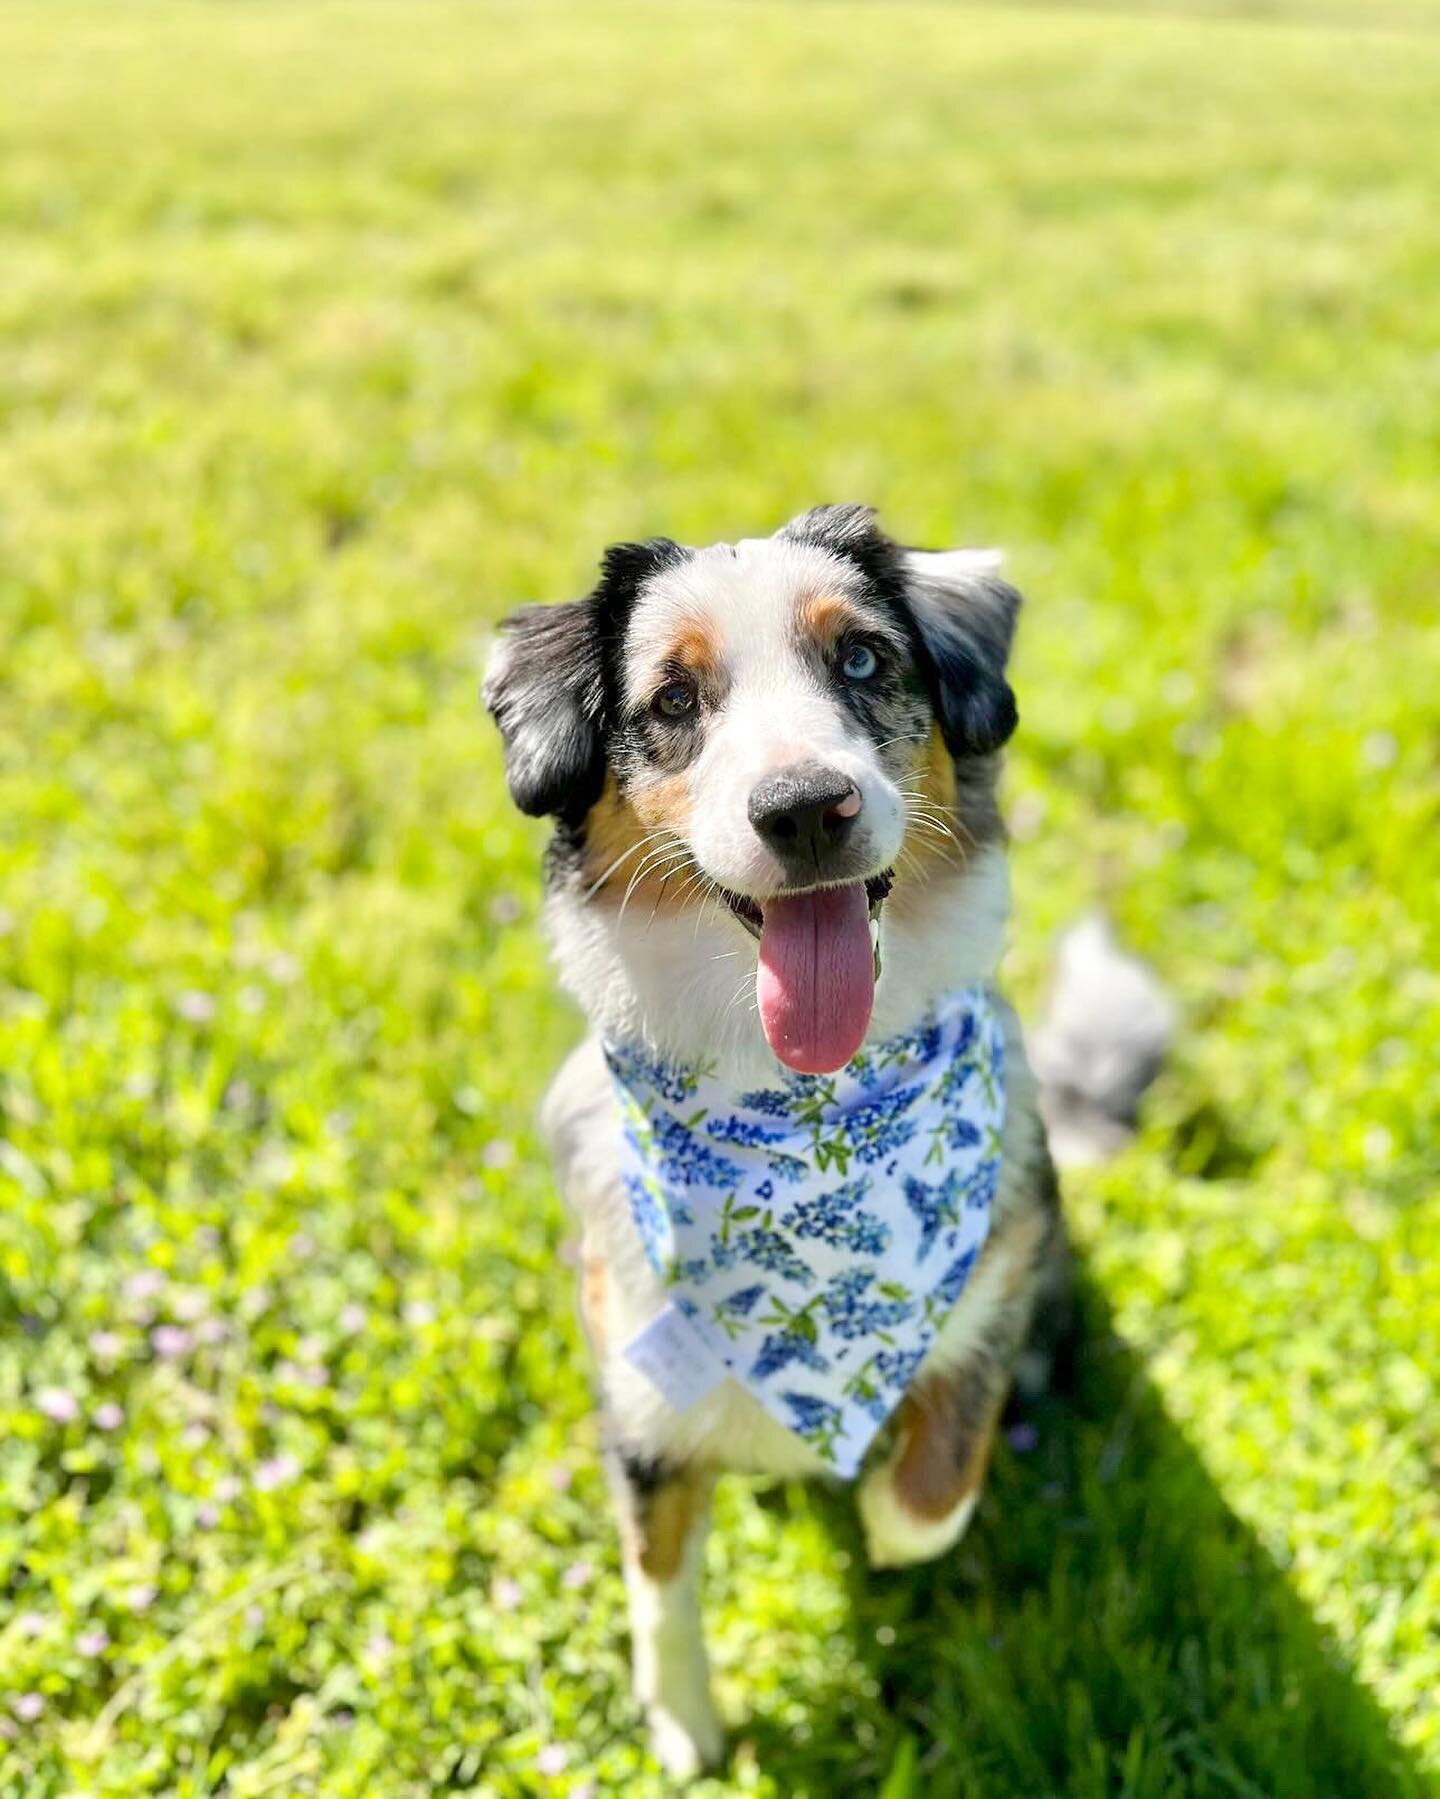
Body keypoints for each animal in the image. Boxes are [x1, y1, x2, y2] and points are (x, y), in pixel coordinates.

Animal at [482, 503, 1080, 1770]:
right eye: (673, 697)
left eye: (859, 656)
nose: (805, 806)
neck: (803, 1106)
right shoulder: (638, 1396)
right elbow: (657, 1580)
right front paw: (686, 1729)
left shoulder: (996, 1278)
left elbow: (928, 1492)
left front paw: (878, 1509)